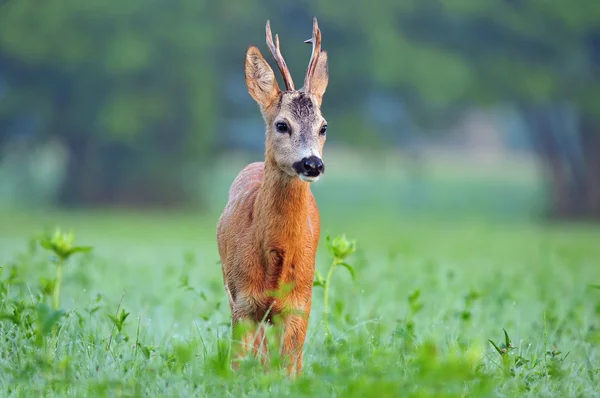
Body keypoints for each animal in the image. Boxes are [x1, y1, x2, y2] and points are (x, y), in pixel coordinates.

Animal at [216, 16, 328, 376]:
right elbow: (237, 361)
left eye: (323, 126)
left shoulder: (300, 303)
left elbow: (291, 370)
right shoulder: (242, 300)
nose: (312, 163)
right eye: (282, 125)